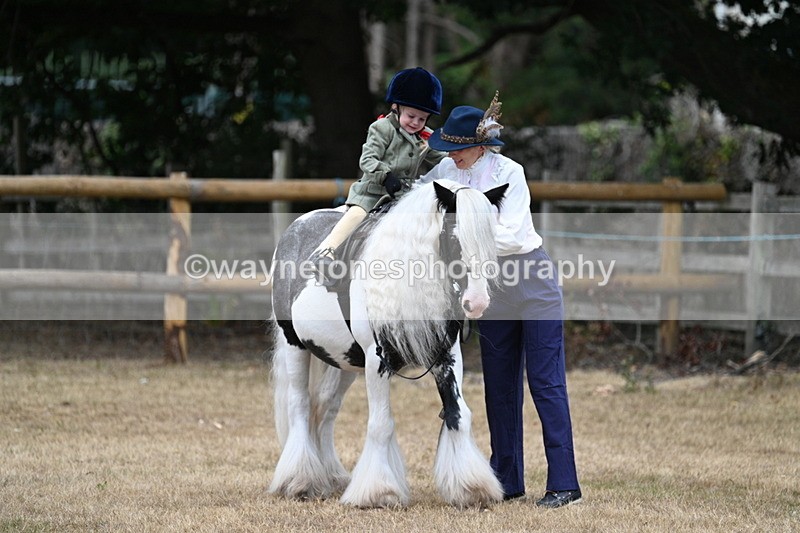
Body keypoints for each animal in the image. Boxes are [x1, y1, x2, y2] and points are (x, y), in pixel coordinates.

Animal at [268, 178, 508, 508]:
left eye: (491, 238)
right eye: (453, 236)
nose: (477, 301)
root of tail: (295, 229)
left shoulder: (446, 357)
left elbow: (458, 414)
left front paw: (472, 488)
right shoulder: (376, 360)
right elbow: (381, 424)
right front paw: (379, 492)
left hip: (345, 362)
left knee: (326, 408)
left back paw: (331, 476)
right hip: (296, 347)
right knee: (300, 406)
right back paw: (299, 481)